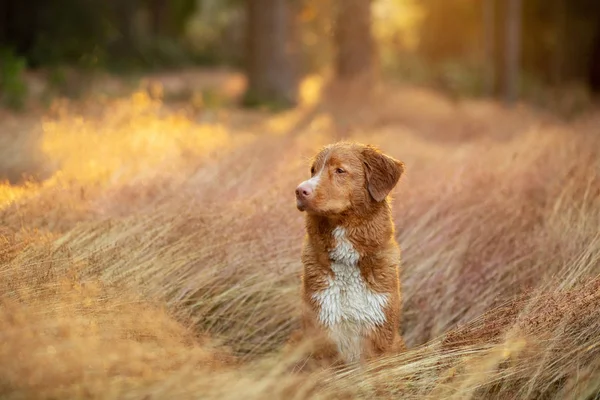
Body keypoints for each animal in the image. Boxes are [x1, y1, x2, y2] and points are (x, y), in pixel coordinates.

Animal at [292, 141, 406, 368]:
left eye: (340, 170)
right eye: (313, 170)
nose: (300, 191)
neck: (347, 261)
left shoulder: (381, 335)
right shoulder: (322, 336)